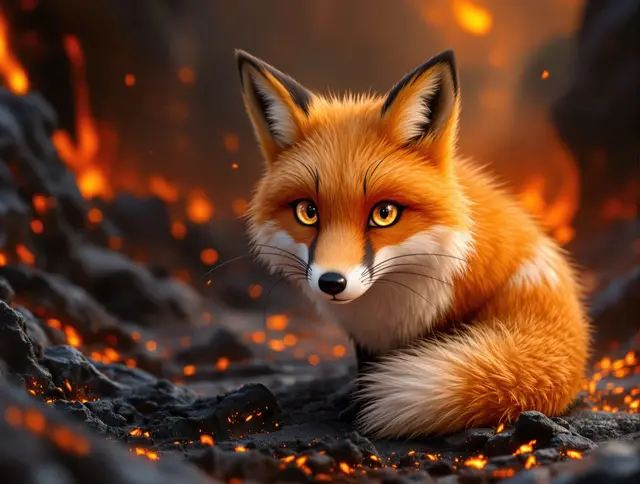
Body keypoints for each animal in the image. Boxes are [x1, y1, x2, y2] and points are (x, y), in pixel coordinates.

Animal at [234, 48, 591, 438]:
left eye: (384, 213)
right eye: (307, 212)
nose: (332, 282)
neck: (384, 308)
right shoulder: (365, 340)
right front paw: (355, 400)